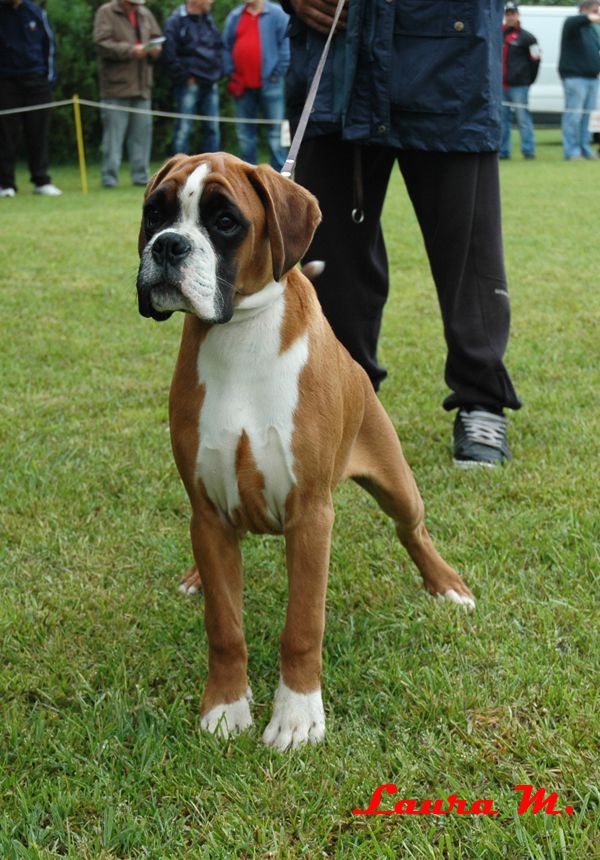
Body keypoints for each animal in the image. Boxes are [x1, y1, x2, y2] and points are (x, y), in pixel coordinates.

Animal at [135, 155, 474, 752]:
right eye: (155, 213)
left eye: (225, 221)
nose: (168, 245)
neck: (240, 335)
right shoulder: (207, 511)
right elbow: (224, 625)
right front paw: (225, 706)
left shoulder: (311, 516)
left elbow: (302, 625)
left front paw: (296, 716)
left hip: (397, 484)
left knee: (412, 530)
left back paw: (446, 586)